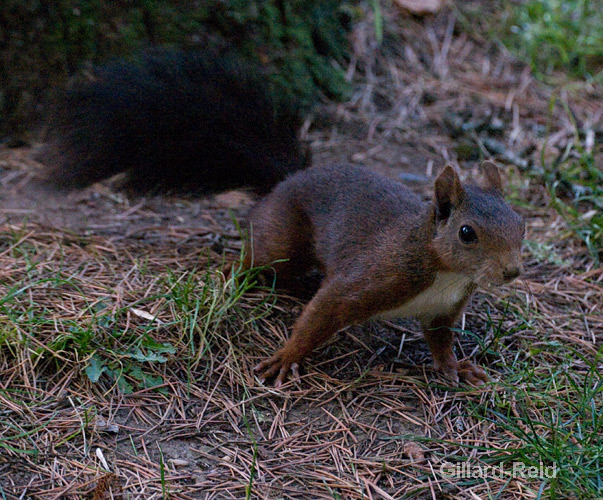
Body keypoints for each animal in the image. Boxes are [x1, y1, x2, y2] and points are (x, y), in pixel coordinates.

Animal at [245, 162, 524, 384]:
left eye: (520, 224)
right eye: (466, 233)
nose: (512, 270)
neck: (448, 275)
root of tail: (283, 183)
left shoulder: (443, 308)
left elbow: (440, 340)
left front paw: (454, 367)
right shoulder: (371, 277)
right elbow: (319, 314)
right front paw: (286, 356)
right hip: (284, 241)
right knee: (260, 257)